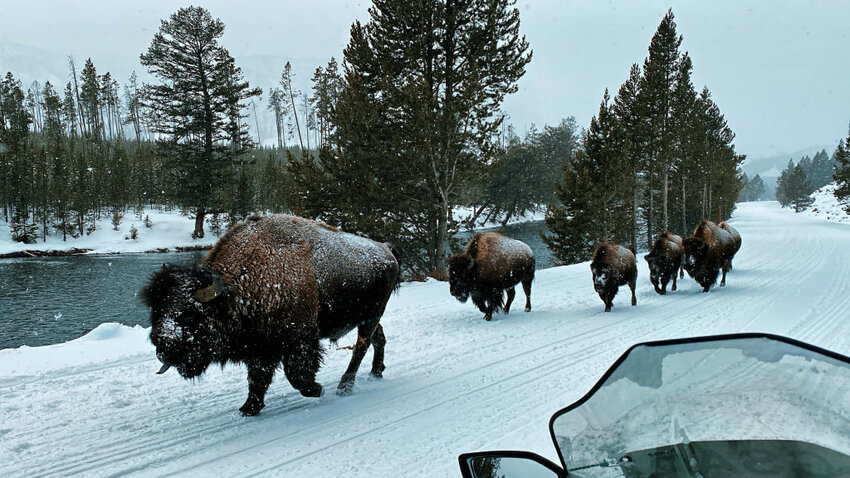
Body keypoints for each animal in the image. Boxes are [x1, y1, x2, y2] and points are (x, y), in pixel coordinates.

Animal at [141, 215, 400, 416]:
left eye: (189, 316)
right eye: (156, 311)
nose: (161, 345)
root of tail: (386, 249)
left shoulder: (299, 341)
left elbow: (296, 375)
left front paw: (317, 389)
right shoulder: (261, 347)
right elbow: (258, 378)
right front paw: (249, 408)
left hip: (371, 316)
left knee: (360, 347)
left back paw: (344, 387)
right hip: (368, 317)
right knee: (378, 338)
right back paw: (376, 373)